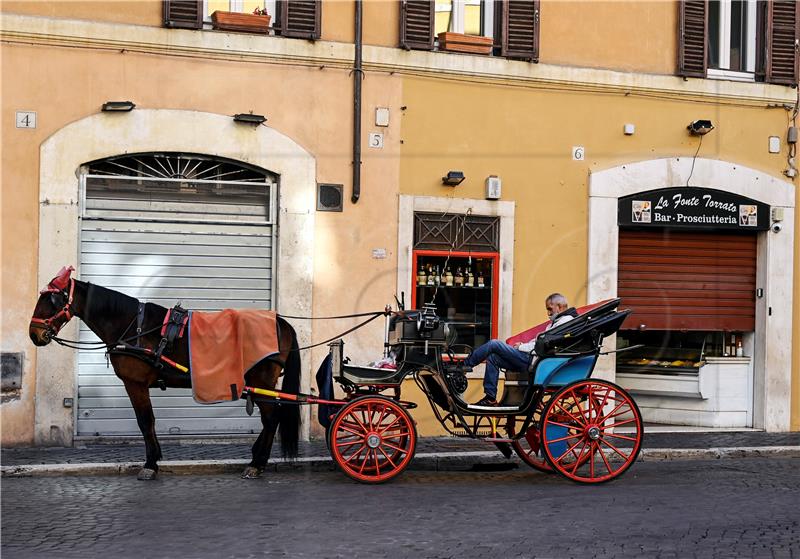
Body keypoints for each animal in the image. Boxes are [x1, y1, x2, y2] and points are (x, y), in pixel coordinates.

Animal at [28, 266, 300, 482]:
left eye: (51, 300)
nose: (34, 334)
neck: (133, 326)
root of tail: (282, 322)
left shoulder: (135, 383)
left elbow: (145, 421)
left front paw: (150, 464)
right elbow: (148, 421)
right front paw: (155, 459)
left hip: (261, 380)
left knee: (271, 418)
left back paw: (257, 463)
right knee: (271, 418)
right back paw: (256, 457)